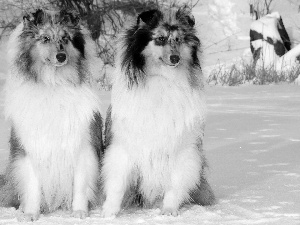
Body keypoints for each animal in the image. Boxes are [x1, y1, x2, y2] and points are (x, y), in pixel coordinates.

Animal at [2, 9, 103, 221]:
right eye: (45, 38)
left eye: (65, 38)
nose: (61, 56)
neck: (54, 84)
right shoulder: (30, 147)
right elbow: (33, 185)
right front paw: (31, 214)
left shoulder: (83, 145)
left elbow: (80, 185)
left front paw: (79, 212)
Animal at [102, 6, 214, 218]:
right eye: (160, 39)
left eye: (178, 39)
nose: (175, 58)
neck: (163, 79)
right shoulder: (123, 146)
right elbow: (117, 183)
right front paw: (108, 213)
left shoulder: (183, 150)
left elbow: (175, 184)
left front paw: (169, 210)